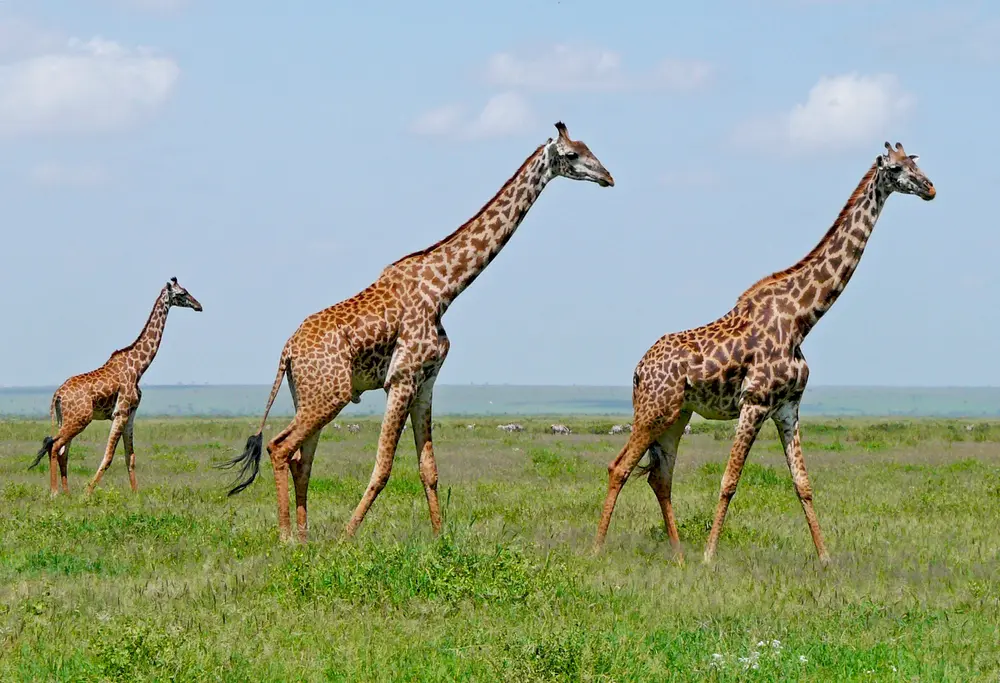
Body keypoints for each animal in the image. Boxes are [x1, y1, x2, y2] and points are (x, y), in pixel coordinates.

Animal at [29, 278, 203, 495]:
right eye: (182, 293)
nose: (199, 306)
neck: (139, 367)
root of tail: (57, 395)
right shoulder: (120, 413)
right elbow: (109, 457)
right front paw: (87, 493)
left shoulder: (130, 413)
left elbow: (131, 457)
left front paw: (136, 495)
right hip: (80, 419)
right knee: (54, 446)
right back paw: (54, 493)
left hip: (66, 420)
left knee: (61, 450)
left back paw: (67, 494)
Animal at [222, 122, 614, 542]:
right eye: (572, 155)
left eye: (589, 148)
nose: (608, 177)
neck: (445, 288)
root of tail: (287, 352)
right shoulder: (402, 379)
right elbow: (383, 467)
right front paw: (347, 537)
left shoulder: (426, 381)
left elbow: (429, 468)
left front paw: (440, 538)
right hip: (329, 396)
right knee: (280, 448)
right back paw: (286, 538)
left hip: (310, 396)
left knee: (301, 458)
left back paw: (305, 537)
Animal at [594, 142, 936, 565]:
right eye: (896, 169)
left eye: (915, 163)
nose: (930, 188)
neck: (802, 318)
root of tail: (639, 369)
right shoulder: (754, 402)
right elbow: (729, 481)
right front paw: (709, 558)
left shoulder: (788, 406)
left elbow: (803, 483)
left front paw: (825, 559)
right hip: (653, 410)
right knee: (619, 467)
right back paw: (597, 549)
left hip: (676, 415)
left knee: (660, 477)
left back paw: (678, 555)